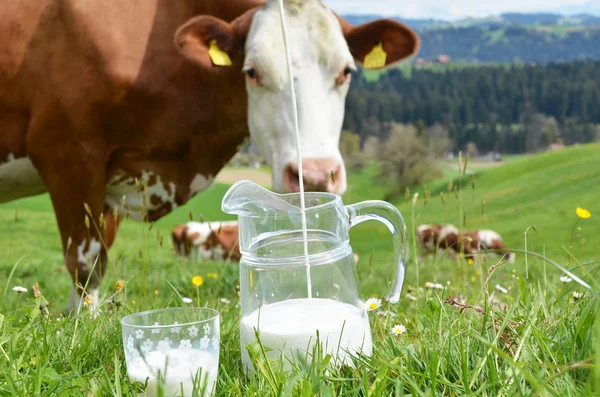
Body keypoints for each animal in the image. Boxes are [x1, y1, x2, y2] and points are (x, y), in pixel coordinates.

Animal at [0, 0, 420, 310]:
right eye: (252, 72)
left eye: (346, 70)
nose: (315, 175)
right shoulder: (67, 151)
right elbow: (85, 265)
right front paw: (81, 326)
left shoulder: (109, 182)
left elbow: (99, 261)